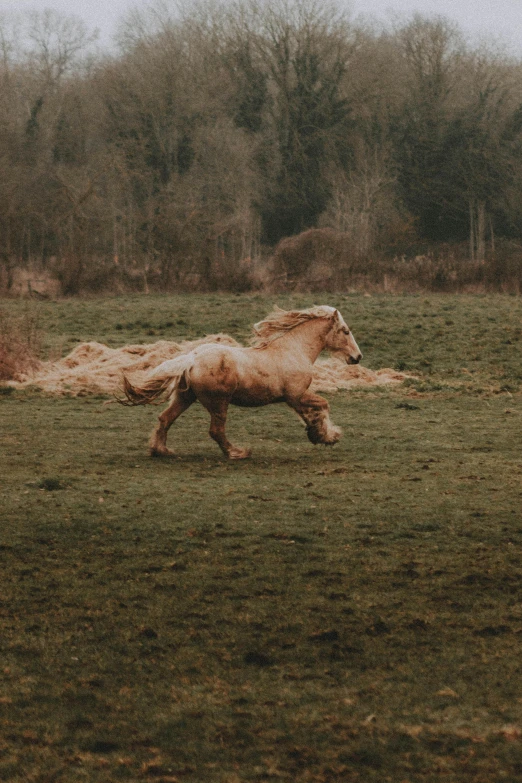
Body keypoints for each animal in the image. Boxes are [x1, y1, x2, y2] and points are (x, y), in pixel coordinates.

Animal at [119, 306, 360, 460]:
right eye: (346, 331)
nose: (357, 357)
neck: (293, 350)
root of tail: (192, 358)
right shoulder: (297, 395)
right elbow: (324, 405)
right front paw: (329, 436)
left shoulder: (294, 399)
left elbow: (311, 414)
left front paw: (317, 434)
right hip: (218, 403)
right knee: (216, 431)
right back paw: (237, 453)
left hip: (185, 397)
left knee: (165, 419)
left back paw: (161, 451)